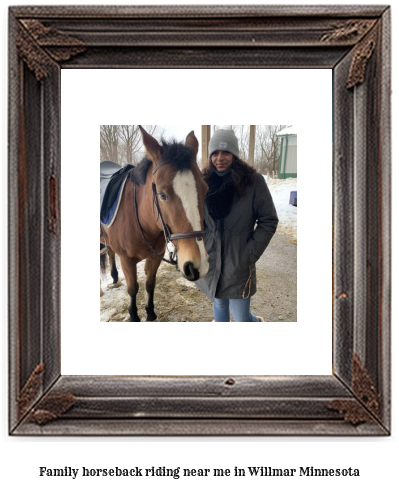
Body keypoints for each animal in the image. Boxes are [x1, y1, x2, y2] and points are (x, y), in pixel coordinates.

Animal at [101, 126, 209, 322]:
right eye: (162, 194)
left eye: (205, 189)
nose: (198, 266)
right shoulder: (127, 261)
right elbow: (133, 289)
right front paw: (133, 315)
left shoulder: (155, 257)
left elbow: (150, 284)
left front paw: (150, 312)